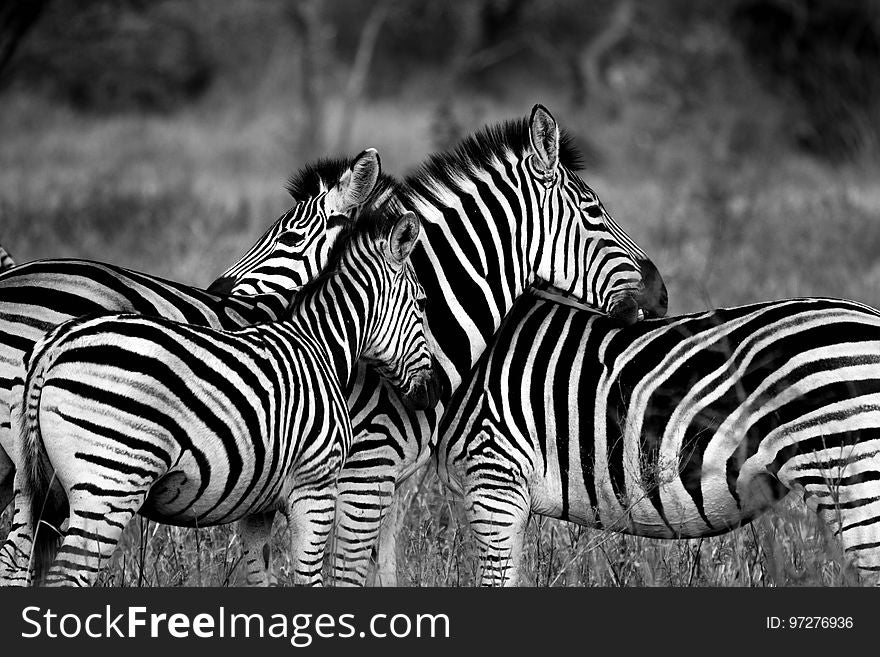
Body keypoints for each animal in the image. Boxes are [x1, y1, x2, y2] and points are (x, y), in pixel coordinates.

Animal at [2, 208, 436, 588]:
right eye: (422, 303)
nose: (433, 394)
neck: (320, 346)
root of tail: (53, 347)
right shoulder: (315, 485)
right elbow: (309, 578)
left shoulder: (259, 504)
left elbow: (261, 574)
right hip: (108, 484)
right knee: (65, 574)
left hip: (34, 486)